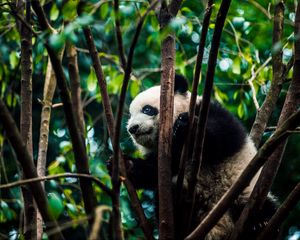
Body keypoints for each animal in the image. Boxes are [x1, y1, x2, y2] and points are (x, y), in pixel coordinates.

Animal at [123, 74, 276, 239]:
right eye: (130, 115)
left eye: (147, 109)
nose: (132, 128)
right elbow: (155, 171)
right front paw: (128, 165)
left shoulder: (212, 112)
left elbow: (219, 138)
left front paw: (184, 125)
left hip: (243, 194)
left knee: (263, 206)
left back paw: (259, 224)